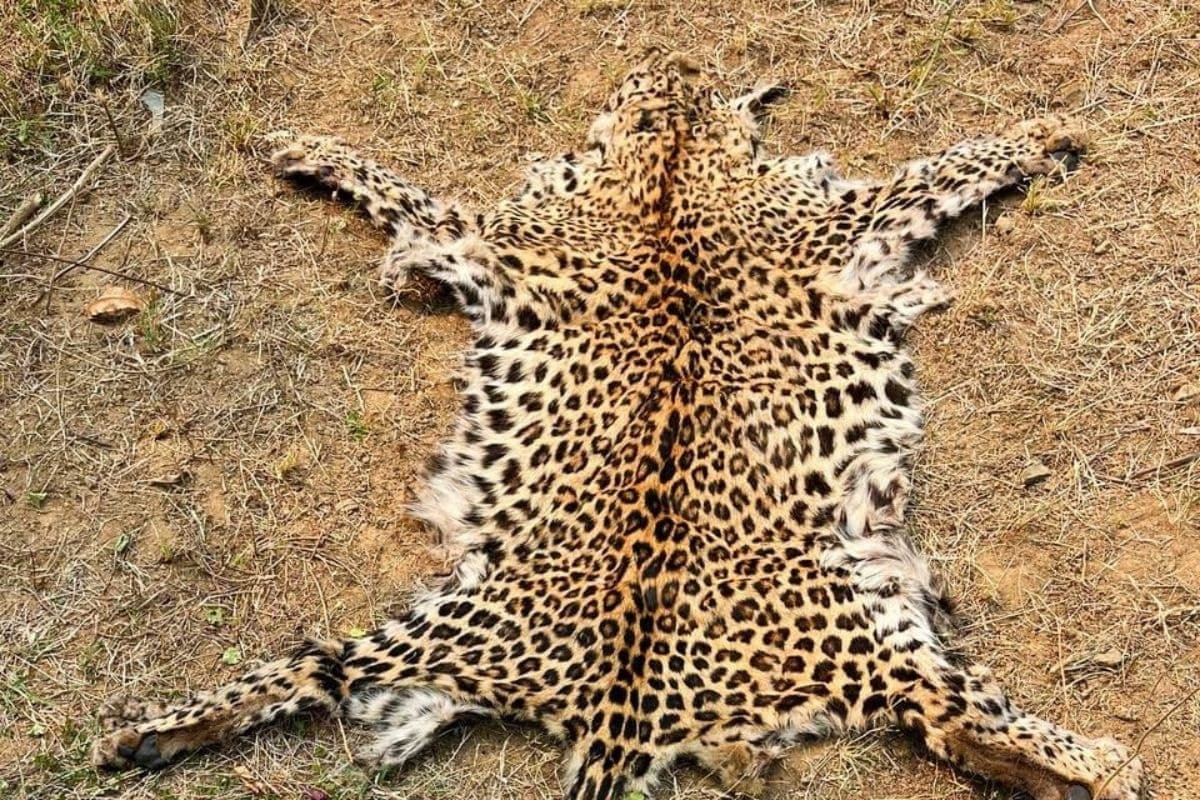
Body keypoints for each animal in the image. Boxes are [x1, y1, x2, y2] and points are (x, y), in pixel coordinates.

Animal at [90, 50, 1144, 800]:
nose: (668, 54)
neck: (671, 168)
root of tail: (621, 701)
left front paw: (1042, 129)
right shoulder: (495, 234)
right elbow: (404, 189)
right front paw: (308, 147)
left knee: (959, 723)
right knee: (315, 666)